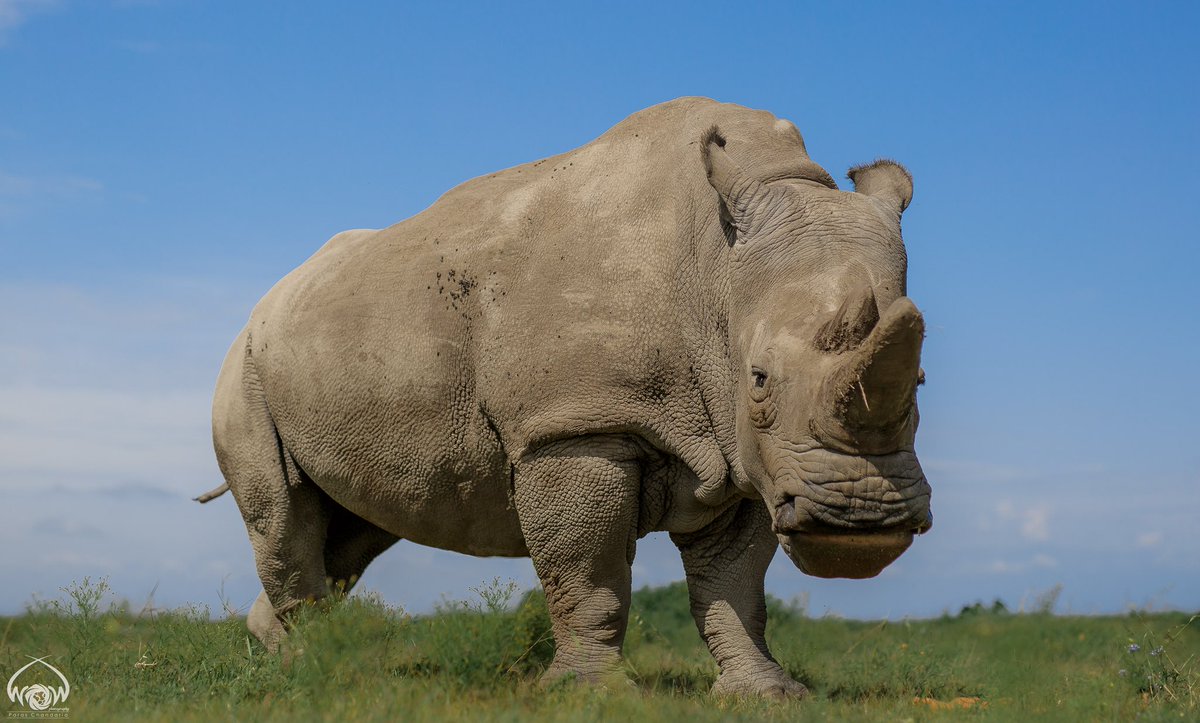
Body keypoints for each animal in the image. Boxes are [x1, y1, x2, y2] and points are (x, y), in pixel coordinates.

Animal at [203, 97, 932, 698]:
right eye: (758, 379)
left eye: (921, 382)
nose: (862, 521)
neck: (715, 271)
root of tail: (266, 302)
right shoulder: (574, 425)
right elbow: (588, 571)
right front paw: (588, 694)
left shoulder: (746, 453)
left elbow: (735, 584)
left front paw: (767, 694)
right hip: (245, 368)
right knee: (283, 514)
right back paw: (309, 675)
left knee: (356, 530)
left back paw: (297, 656)